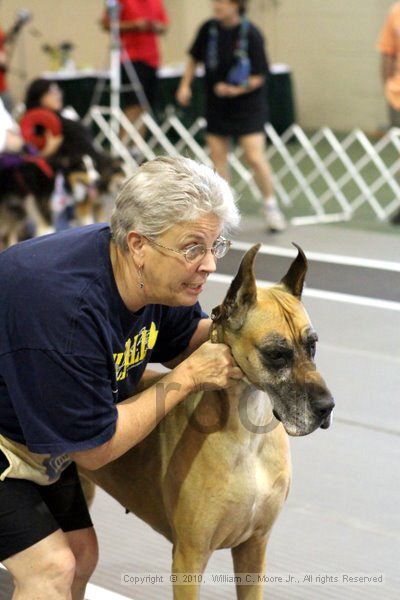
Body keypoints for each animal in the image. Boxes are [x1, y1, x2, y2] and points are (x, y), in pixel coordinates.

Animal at [79, 245, 334, 600]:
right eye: (276, 354)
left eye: (312, 345)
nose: (327, 407)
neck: (249, 434)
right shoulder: (189, 557)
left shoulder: (254, 549)